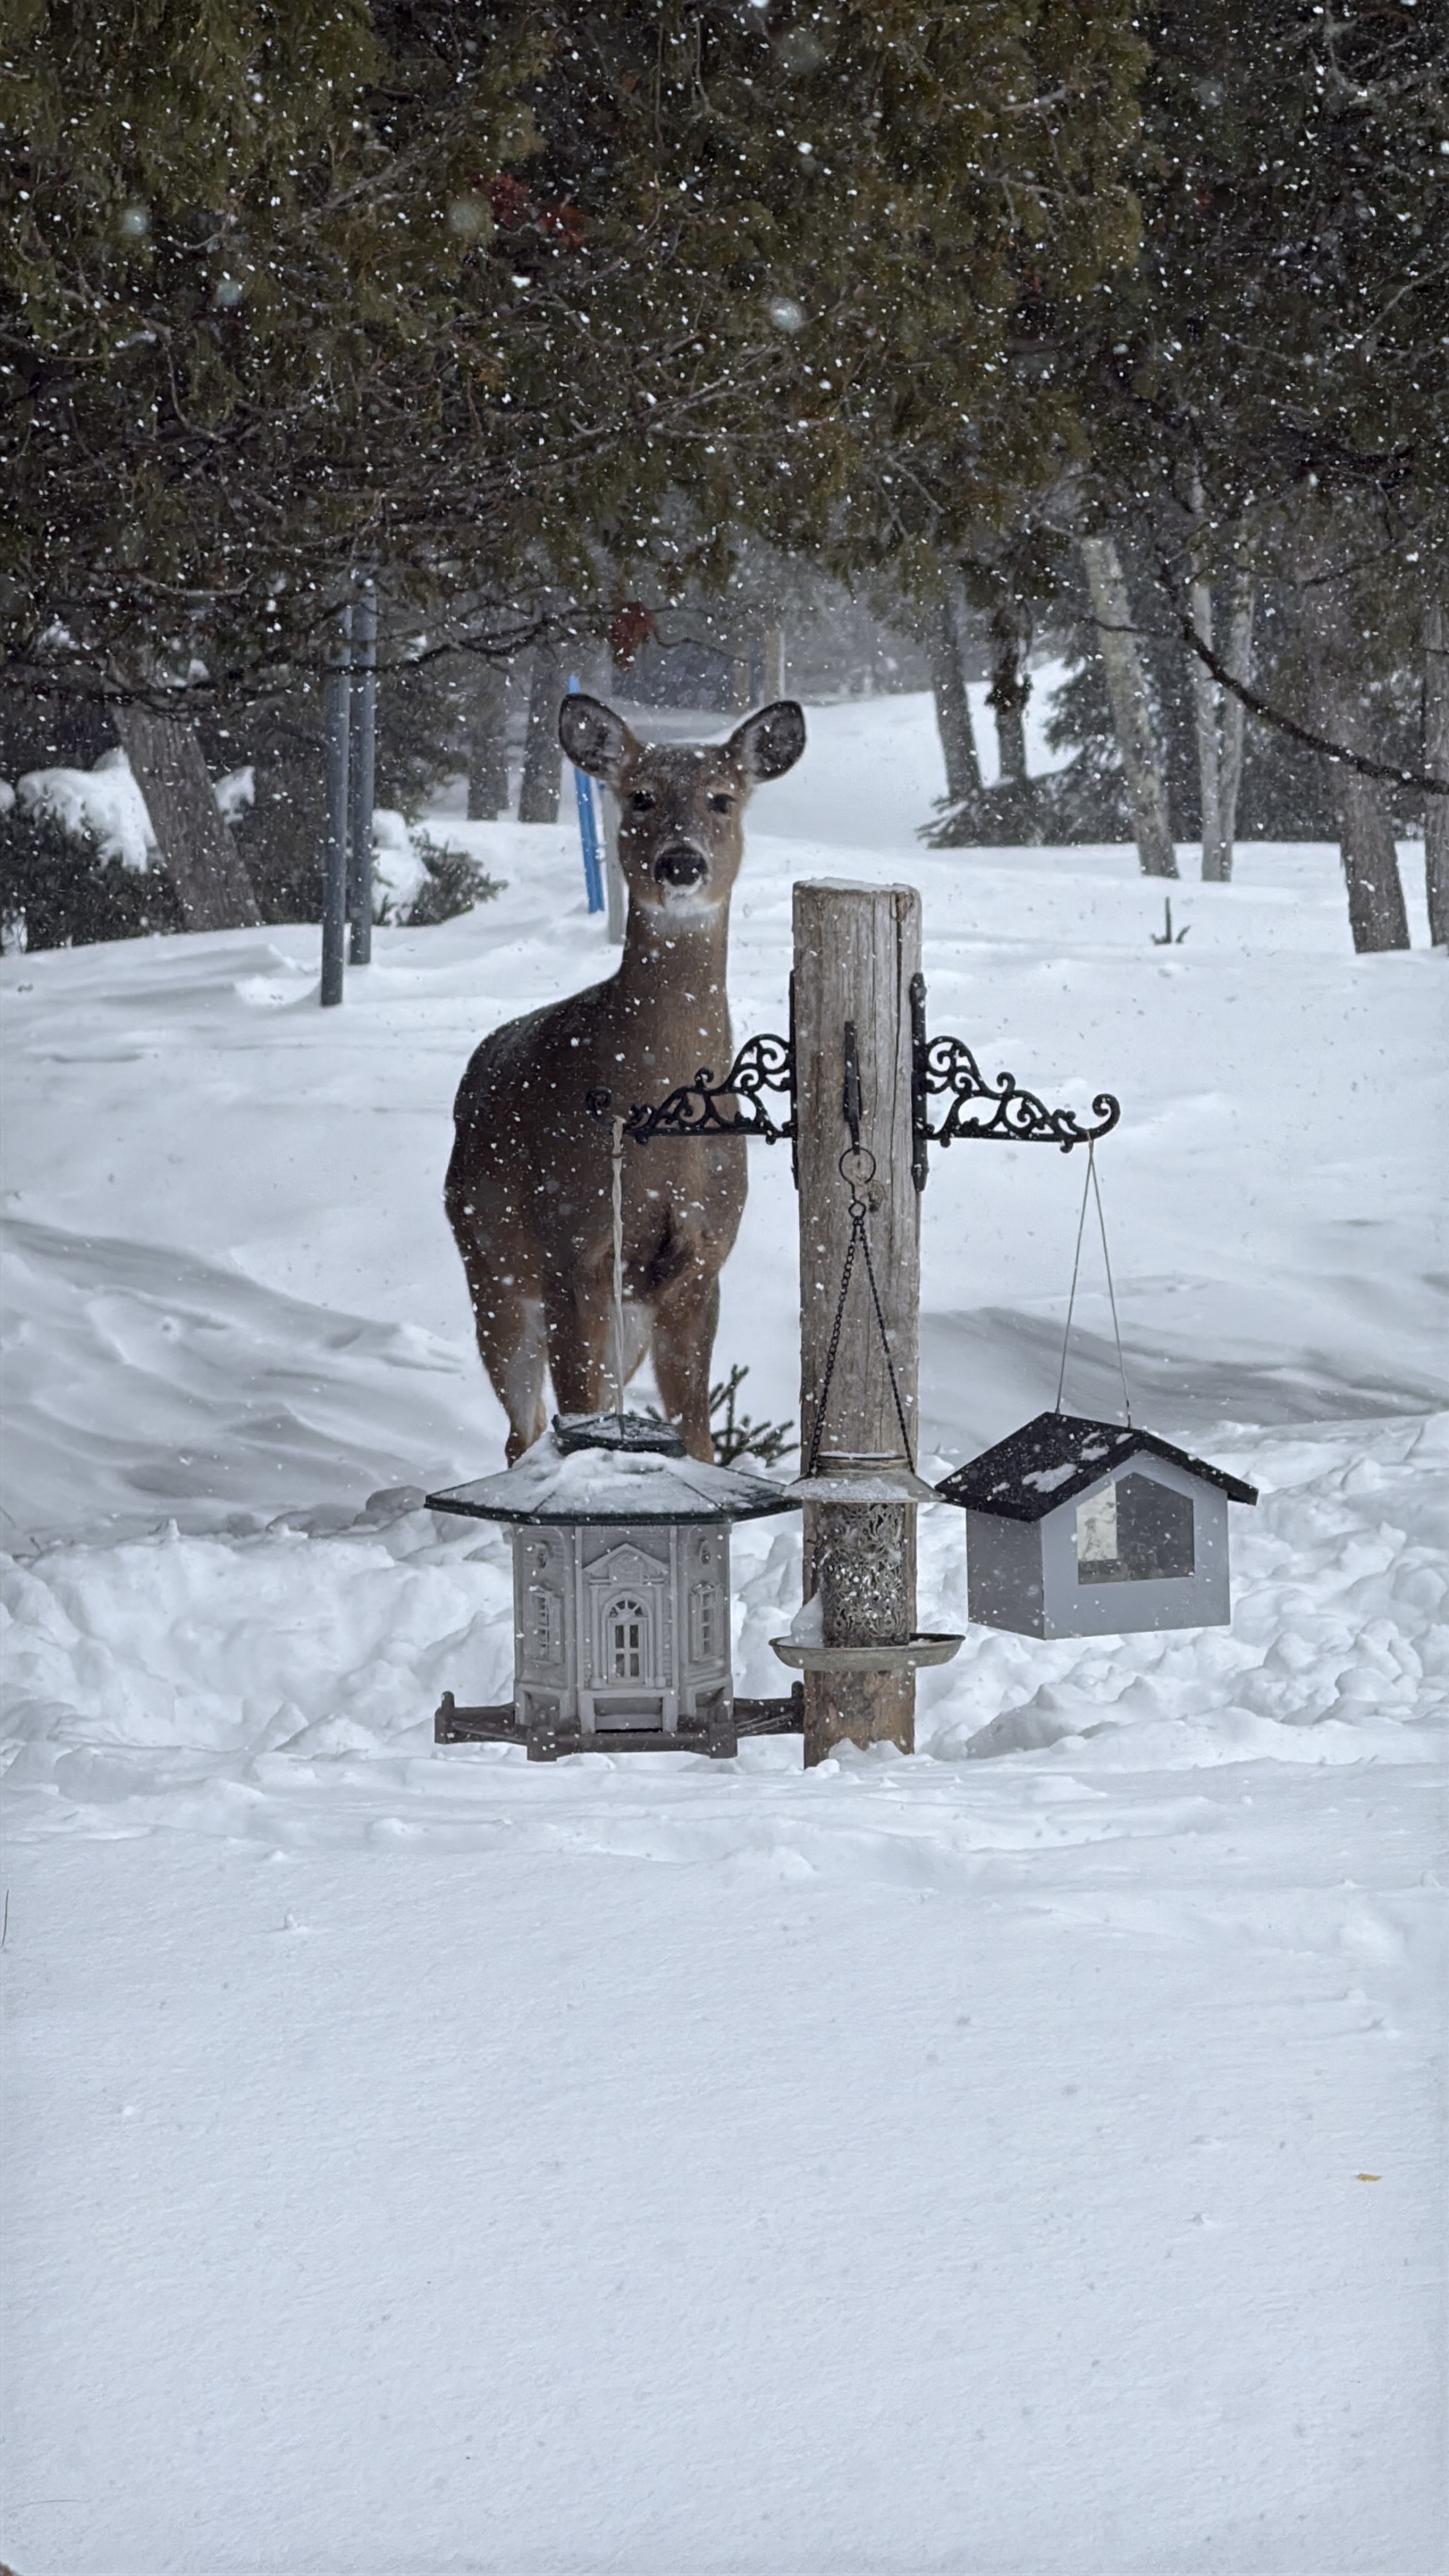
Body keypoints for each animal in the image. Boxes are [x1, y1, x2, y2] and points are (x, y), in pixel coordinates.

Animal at [445, 692, 806, 1462]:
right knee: (522, 1431)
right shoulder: (572, 1247)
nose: (681, 862)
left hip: (619, 1313)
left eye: (722, 798)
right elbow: (577, 1416)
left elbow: (696, 1432)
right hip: (491, 1265)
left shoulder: (700, 1263)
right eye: (640, 795)